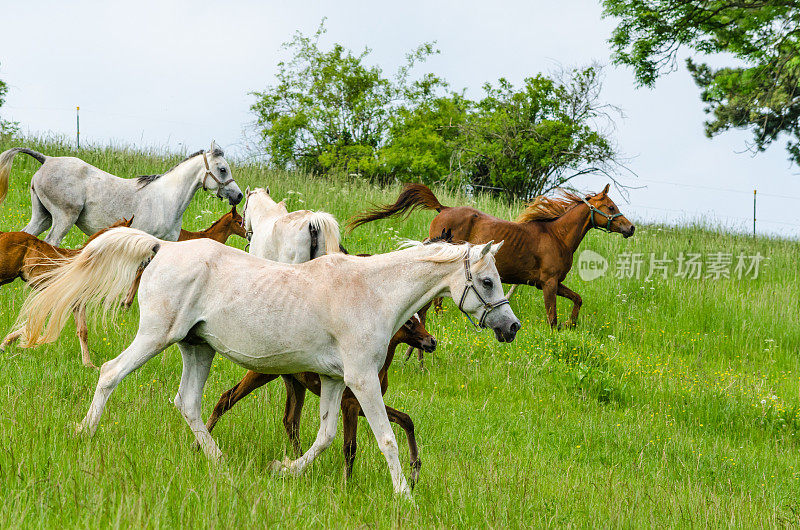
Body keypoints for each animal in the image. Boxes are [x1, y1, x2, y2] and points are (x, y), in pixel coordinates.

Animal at [0, 142, 244, 245]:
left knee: (25, 235)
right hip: (63, 218)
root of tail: (47, 159)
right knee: (51, 243)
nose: (239, 196)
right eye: (223, 169)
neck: (167, 200)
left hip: (42, 217)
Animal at [203, 312, 434, 484]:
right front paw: (347, 484)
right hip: (262, 372)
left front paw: (415, 470)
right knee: (226, 398)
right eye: (409, 322)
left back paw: (299, 462)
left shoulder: (362, 404)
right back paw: (201, 445)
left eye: (420, 319)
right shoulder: (350, 404)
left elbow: (406, 419)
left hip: (295, 383)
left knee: (290, 421)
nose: (432, 341)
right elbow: (350, 447)